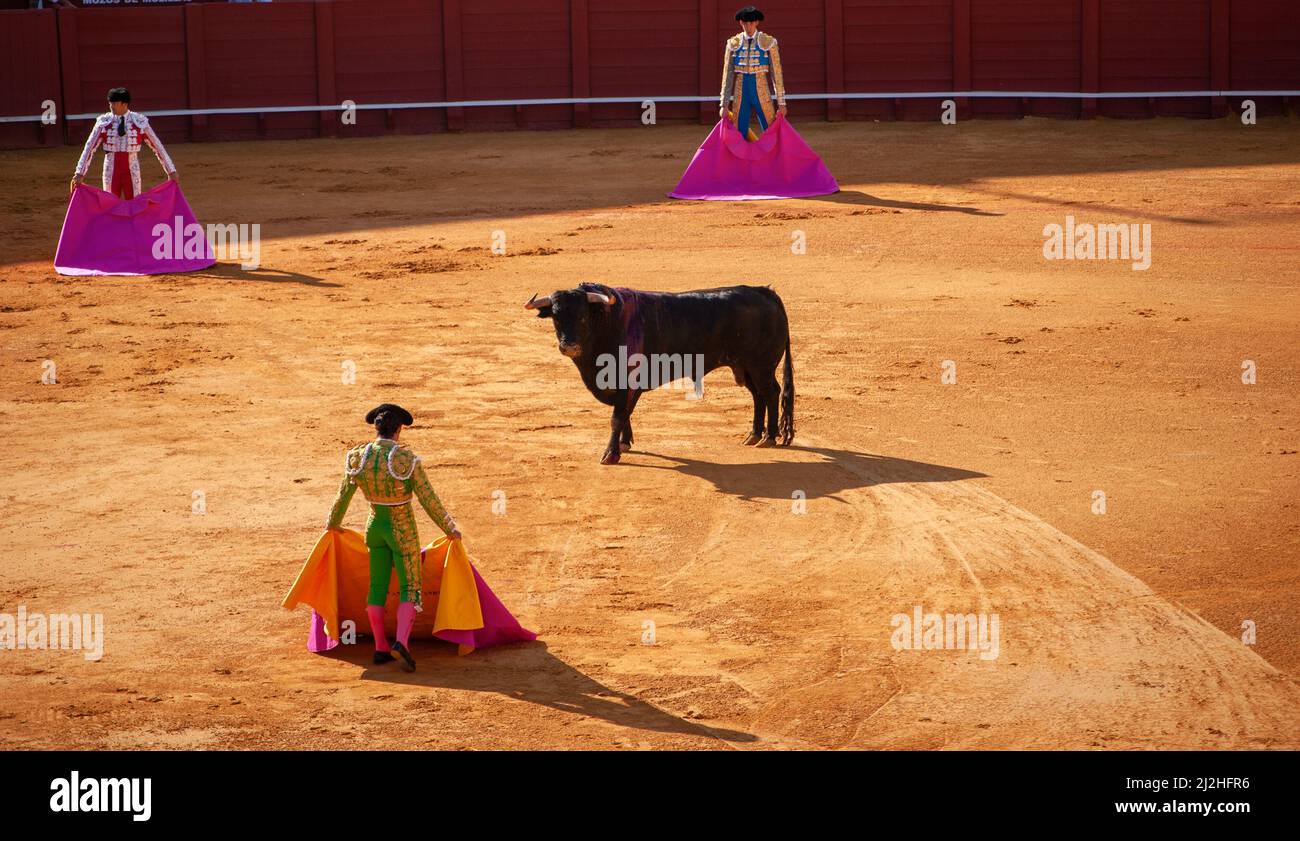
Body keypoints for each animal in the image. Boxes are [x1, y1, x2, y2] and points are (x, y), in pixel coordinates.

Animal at [525, 284, 790, 467]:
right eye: (556, 317)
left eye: (583, 316)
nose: (569, 346)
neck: (607, 322)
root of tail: (764, 292)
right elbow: (625, 414)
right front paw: (625, 443)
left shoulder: (627, 383)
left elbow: (617, 417)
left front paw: (611, 453)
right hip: (745, 367)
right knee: (758, 395)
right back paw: (754, 435)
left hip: (761, 366)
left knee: (770, 392)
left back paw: (769, 437)